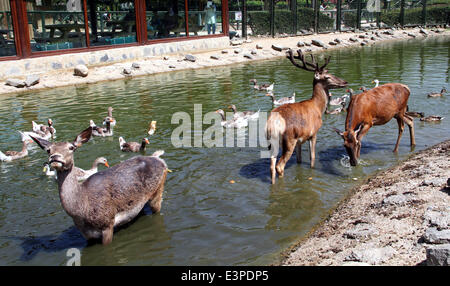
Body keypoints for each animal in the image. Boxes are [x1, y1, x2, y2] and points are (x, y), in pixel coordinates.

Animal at [30, 128, 169, 246]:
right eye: (49, 150)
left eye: (71, 147)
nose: (55, 157)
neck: (81, 210)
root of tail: (160, 160)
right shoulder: (86, 234)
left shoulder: (107, 223)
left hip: (158, 189)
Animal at [268, 49, 348, 183]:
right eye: (327, 77)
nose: (345, 82)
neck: (318, 107)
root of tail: (273, 122)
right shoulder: (313, 133)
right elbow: (313, 157)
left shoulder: (300, 140)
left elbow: (299, 160)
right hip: (289, 140)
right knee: (280, 166)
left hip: (273, 142)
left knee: (272, 165)